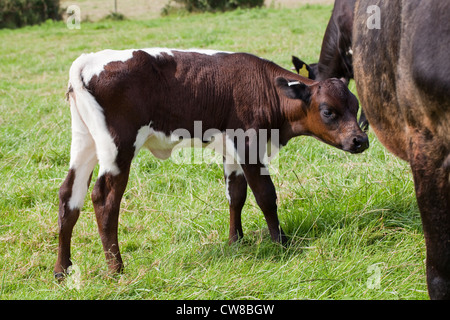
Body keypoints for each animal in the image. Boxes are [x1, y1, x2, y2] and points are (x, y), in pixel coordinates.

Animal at [53, 48, 370, 276]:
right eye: (328, 111)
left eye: (355, 106)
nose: (361, 140)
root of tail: (86, 61)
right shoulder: (249, 143)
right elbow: (265, 194)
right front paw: (281, 242)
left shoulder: (232, 150)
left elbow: (236, 195)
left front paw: (236, 241)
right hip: (118, 146)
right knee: (104, 198)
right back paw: (116, 269)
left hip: (84, 142)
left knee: (69, 195)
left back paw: (62, 268)